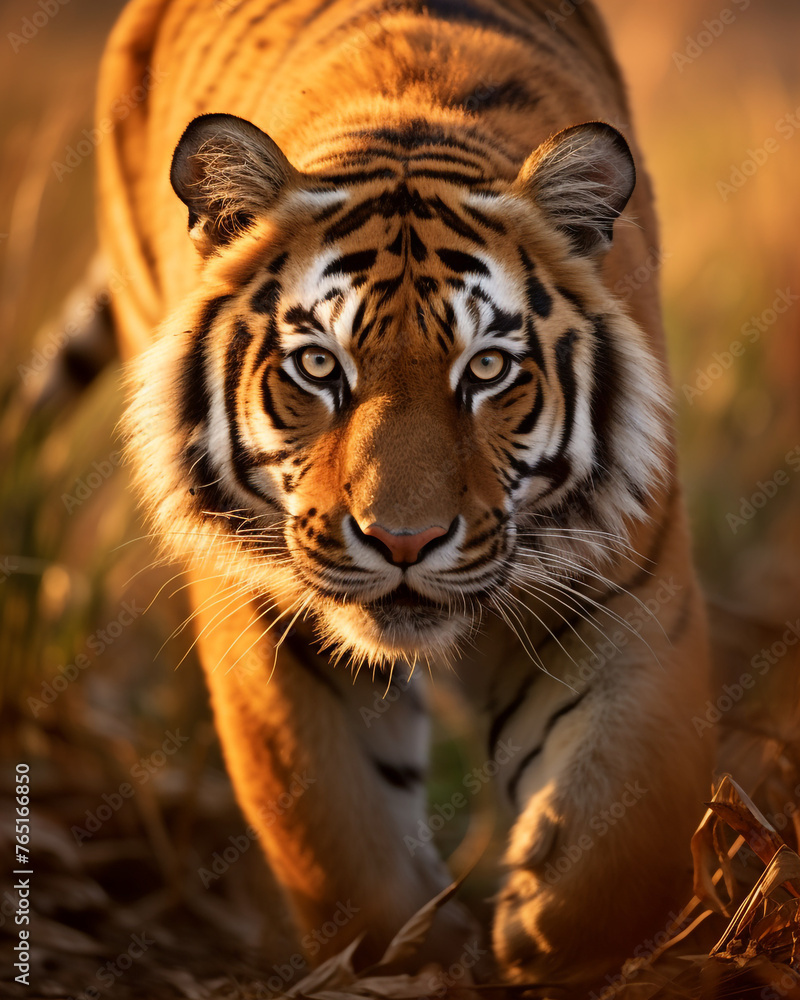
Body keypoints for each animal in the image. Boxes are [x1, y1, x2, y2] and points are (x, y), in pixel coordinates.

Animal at [96, 0, 714, 992]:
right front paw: (411, 951)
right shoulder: (268, 610)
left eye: (487, 369)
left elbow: (621, 835)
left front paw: (540, 935)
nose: (403, 542)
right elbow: (336, 836)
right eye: (319, 366)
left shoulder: (629, 588)